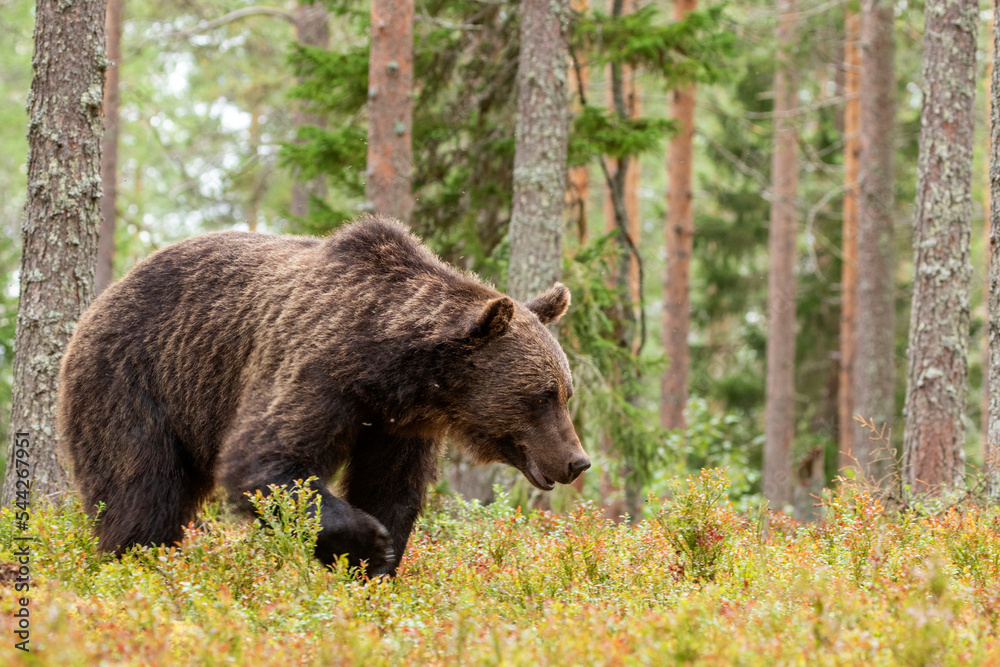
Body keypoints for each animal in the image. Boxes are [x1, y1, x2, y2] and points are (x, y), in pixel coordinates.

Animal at [58, 214, 590, 576]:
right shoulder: (317, 368)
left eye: (566, 392)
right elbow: (266, 463)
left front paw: (378, 567)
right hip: (135, 381)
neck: (391, 370)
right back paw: (135, 562)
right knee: (141, 489)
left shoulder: (399, 425)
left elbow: (391, 489)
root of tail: (100, 300)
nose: (577, 461)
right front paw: (370, 543)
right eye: (542, 395)